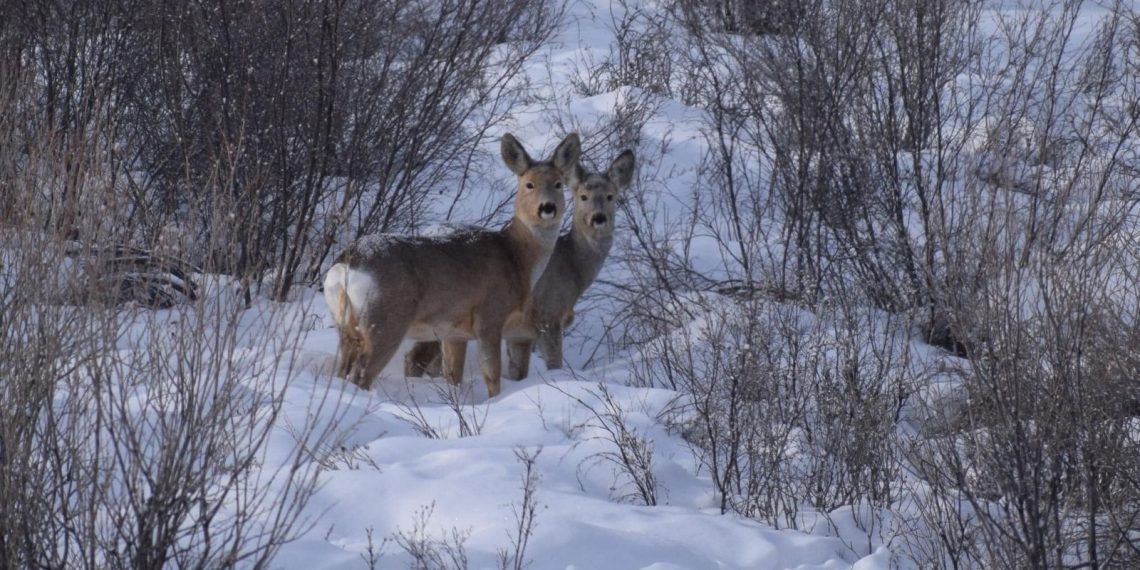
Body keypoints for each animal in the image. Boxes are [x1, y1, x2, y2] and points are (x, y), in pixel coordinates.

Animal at [326, 132, 583, 396]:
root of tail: (347, 265)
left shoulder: (454, 331)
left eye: (558, 184)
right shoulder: (490, 315)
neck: (516, 257)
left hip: (345, 324)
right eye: (529, 184)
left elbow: (453, 375)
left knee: (343, 370)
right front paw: (495, 400)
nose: (547, 207)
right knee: (362, 374)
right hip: (386, 319)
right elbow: (492, 374)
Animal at [403, 147, 638, 380]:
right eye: (583, 196)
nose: (598, 218)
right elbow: (555, 364)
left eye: (610, 196)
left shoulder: (520, 333)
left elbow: (517, 372)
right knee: (415, 358)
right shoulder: (547, 316)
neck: (572, 269)